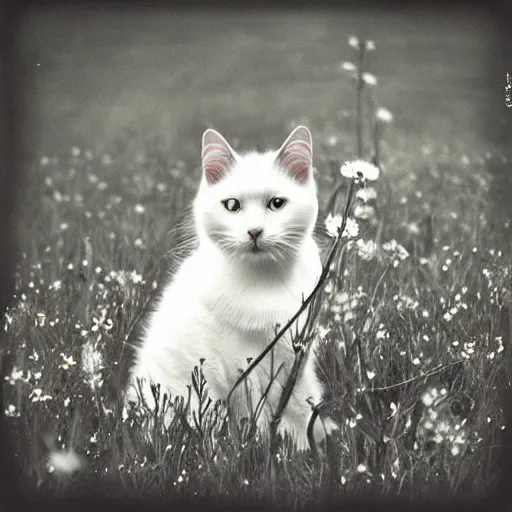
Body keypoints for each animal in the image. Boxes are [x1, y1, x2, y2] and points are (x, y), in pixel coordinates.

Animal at [126, 126, 338, 450]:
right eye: (232, 206)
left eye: (277, 203)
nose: (254, 231)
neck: (263, 281)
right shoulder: (238, 366)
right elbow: (254, 416)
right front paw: (260, 449)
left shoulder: (296, 357)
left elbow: (295, 405)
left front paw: (305, 445)